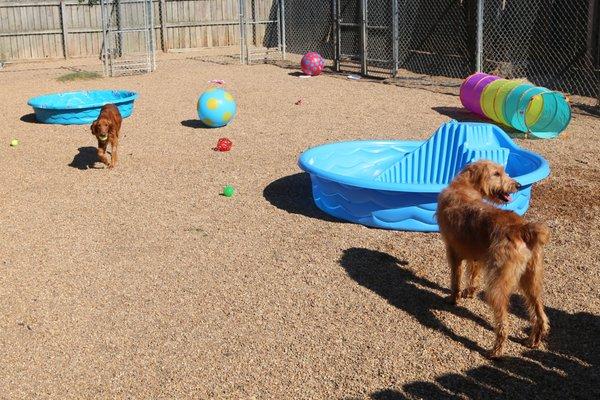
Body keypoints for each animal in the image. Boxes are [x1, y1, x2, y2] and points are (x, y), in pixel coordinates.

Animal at [436, 160, 548, 360]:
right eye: (496, 173)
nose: (517, 185)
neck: (463, 186)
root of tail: (523, 229)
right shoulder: (476, 255)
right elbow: (473, 276)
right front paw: (469, 292)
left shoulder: (453, 252)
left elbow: (455, 280)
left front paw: (453, 299)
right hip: (532, 282)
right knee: (541, 315)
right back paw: (533, 341)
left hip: (497, 287)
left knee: (503, 323)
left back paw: (495, 350)